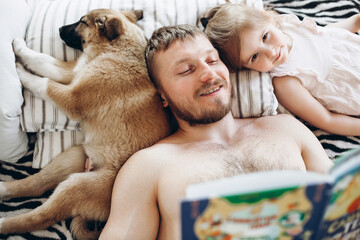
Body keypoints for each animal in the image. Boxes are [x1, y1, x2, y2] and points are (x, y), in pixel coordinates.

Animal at [0, 8, 172, 239]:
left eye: (82, 22)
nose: (59, 29)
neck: (115, 51)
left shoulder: (72, 97)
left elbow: (44, 82)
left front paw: (20, 73)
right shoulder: (72, 72)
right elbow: (42, 60)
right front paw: (19, 48)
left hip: (75, 186)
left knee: (41, 216)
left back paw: (4, 223)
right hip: (71, 158)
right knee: (36, 185)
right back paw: (3, 189)